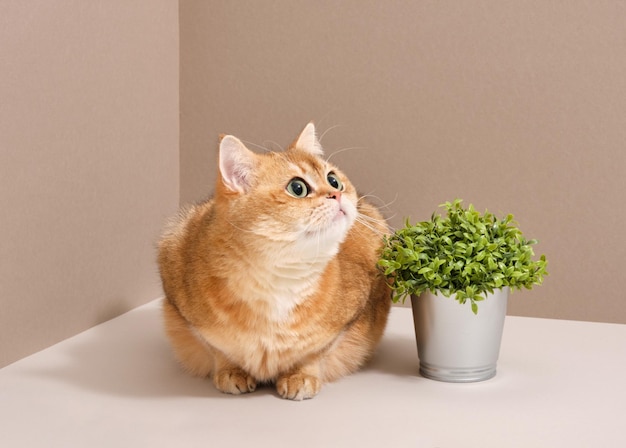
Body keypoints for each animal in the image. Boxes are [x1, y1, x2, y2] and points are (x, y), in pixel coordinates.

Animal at [158, 122, 388, 400]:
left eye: (333, 179)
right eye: (297, 188)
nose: (337, 194)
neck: (279, 280)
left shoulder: (350, 318)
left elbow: (315, 353)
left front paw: (300, 375)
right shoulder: (182, 306)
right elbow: (218, 350)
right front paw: (231, 370)